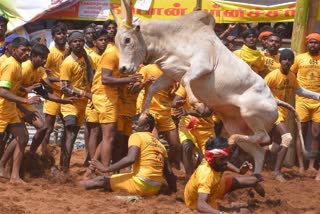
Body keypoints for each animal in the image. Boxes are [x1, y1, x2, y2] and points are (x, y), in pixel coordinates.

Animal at [111, 0, 306, 174]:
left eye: (127, 40)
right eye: (116, 41)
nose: (123, 69)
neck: (174, 40)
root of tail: (274, 101)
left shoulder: (202, 65)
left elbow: (186, 79)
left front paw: (199, 105)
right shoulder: (169, 75)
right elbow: (153, 88)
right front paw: (144, 114)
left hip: (251, 114)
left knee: (264, 138)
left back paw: (234, 144)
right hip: (236, 125)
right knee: (258, 152)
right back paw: (255, 179)